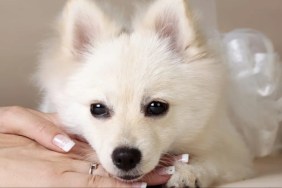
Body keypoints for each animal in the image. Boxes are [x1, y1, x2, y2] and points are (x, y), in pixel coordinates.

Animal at [35, 0, 253, 187]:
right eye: (97, 108)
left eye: (156, 107)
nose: (125, 157)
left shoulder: (232, 149)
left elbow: (213, 159)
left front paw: (186, 172)